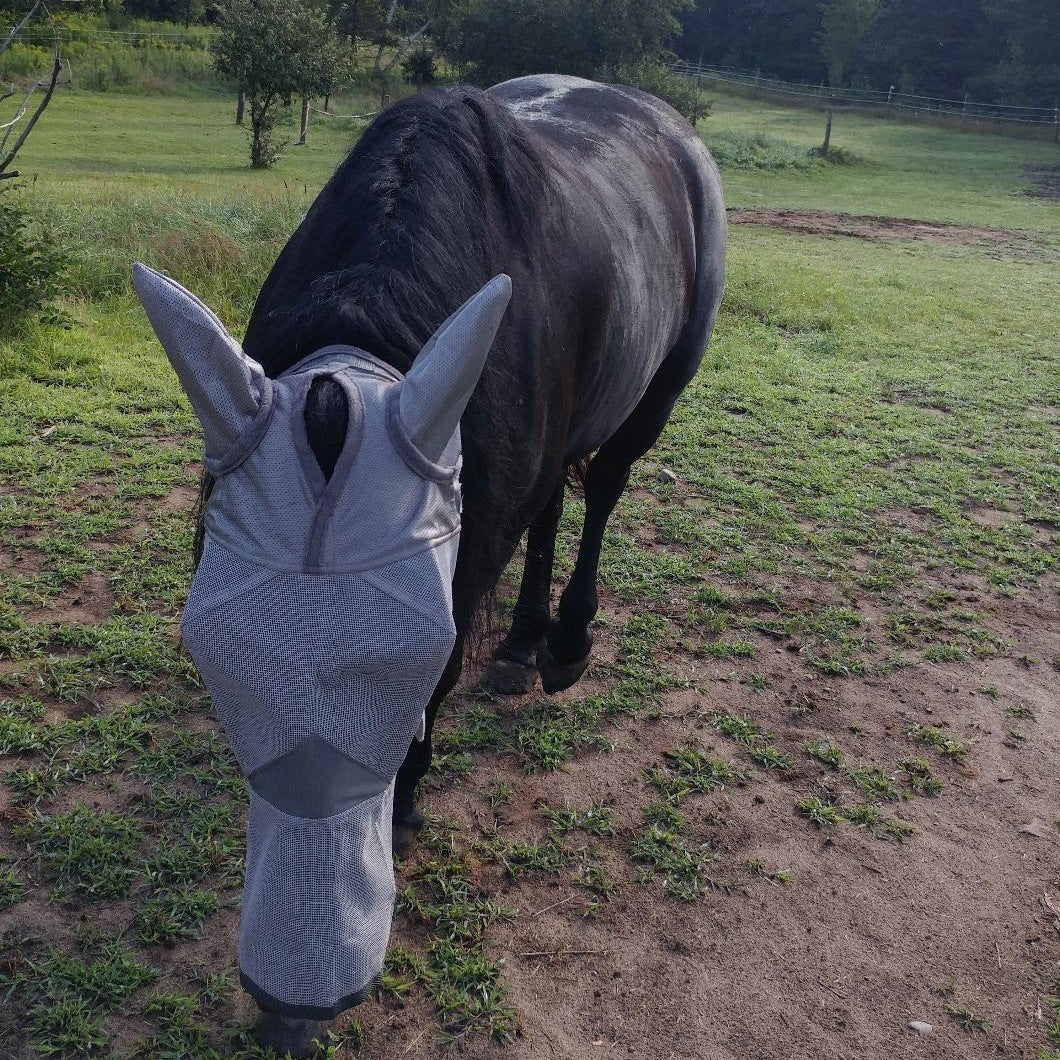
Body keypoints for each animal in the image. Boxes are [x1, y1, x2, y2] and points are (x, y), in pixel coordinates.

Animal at [133, 74, 725, 1055]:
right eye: (211, 654)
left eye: (409, 659)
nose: (291, 1007)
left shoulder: (466, 552)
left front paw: (406, 800)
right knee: (553, 505)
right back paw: (520, 646)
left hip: (660, 392)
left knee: (604, 488)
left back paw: (565, 643)